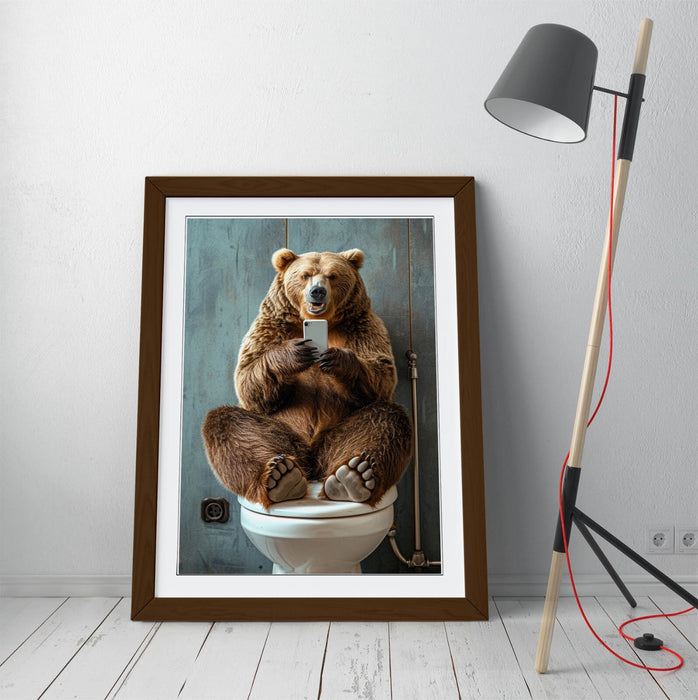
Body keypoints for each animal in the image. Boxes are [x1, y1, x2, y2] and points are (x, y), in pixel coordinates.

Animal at [202, 247, 412, 510]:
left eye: (332, 275)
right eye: (305, 275)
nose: (317, 291)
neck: (324, 322)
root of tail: (312, 466)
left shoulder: (362, 327)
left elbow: (380, 374)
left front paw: (338, 360)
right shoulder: (272, 326)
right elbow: (249, 379)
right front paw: (294, 354)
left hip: (337, 436)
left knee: (384, 420)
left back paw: (353, 477)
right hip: (282, 434)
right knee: (229, 425)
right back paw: (280, 477)